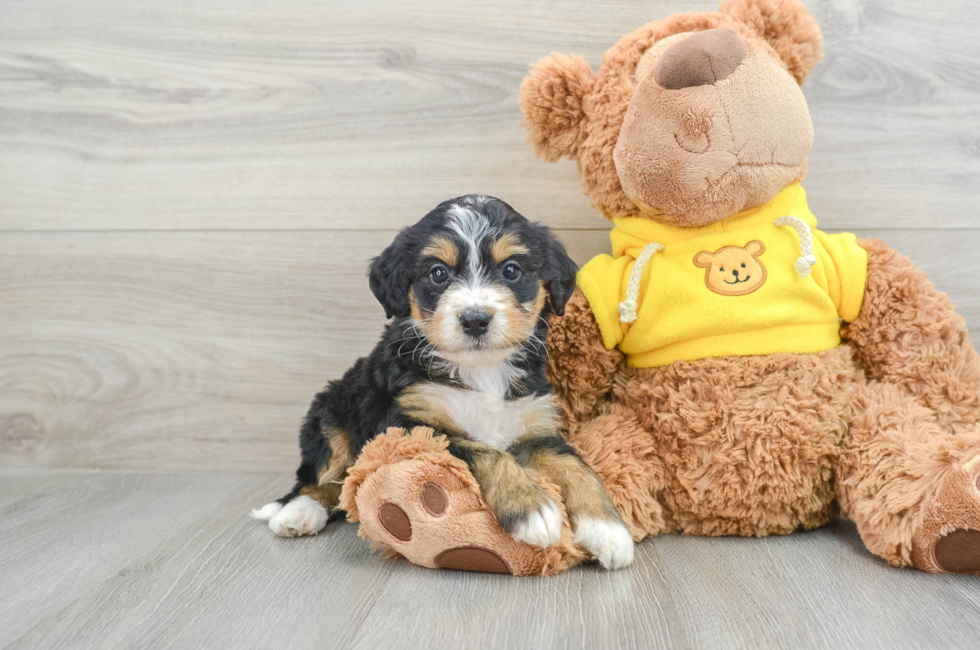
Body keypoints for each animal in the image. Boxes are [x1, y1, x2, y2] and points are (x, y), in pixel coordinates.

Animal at [253, 195, 636, 568]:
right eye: (438, 273)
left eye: (511, 270)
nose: (475, 319)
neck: (481, 370)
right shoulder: (409, 427)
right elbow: (483, 450)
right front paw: (532, 508)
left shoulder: (536, 426)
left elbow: (577, 467)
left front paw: (609, 530)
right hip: (331, 410)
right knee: (321, 477)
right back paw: (298, 513)